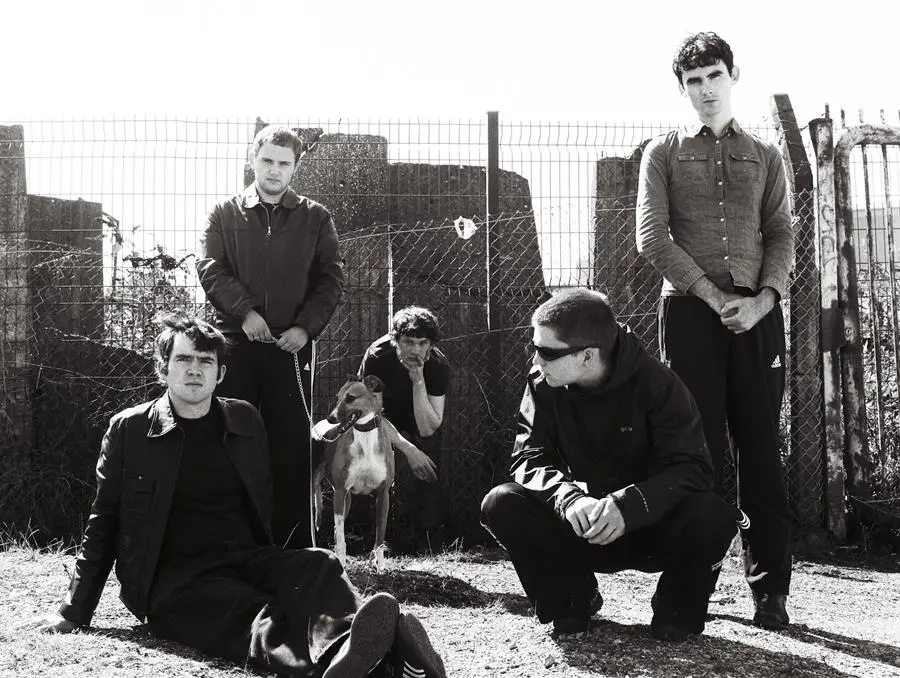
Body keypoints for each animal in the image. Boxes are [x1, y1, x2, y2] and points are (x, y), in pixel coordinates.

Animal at [312, 375, 437, 569]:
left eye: (350, 398)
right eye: (337, 397)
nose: (331, 418)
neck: (365, 439)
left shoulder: (383, 493)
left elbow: (379, 536)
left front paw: (380, 566)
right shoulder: (340, 491)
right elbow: (341, 538)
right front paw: (341, 562)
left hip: (347, 500)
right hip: (326, 491)